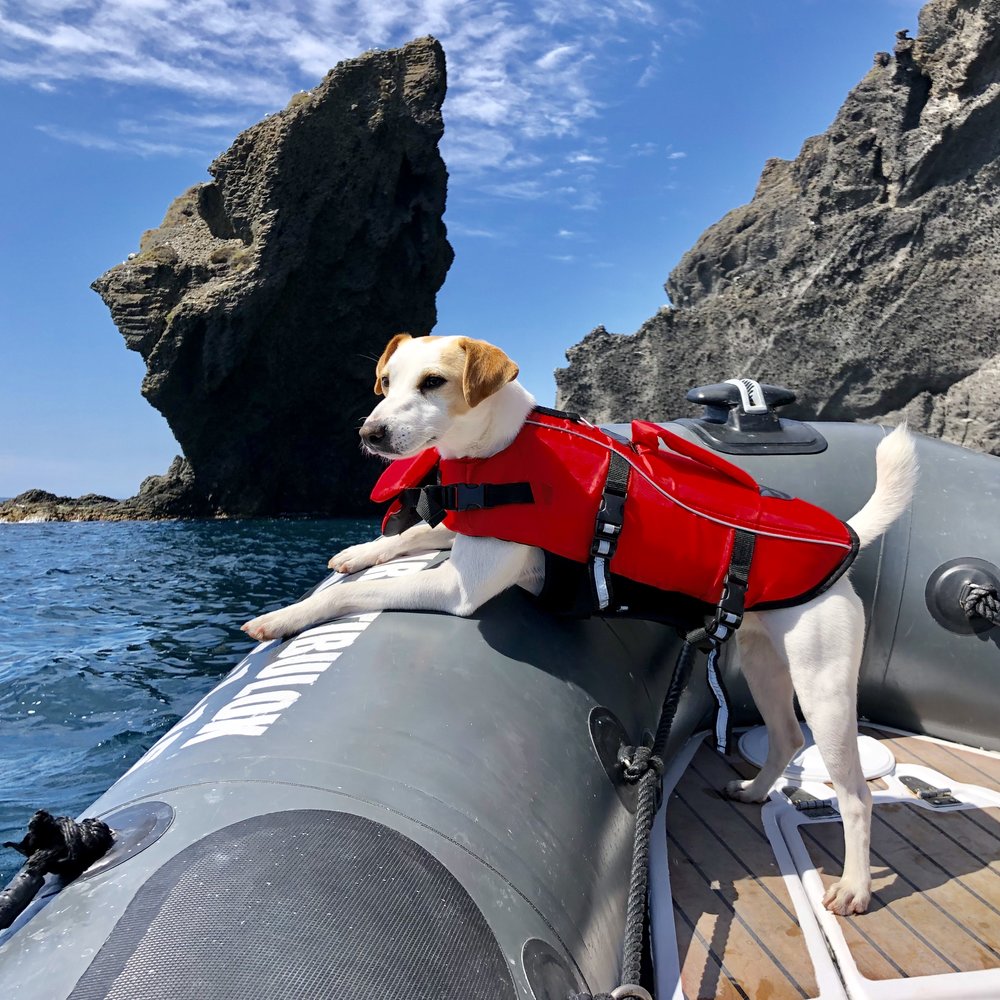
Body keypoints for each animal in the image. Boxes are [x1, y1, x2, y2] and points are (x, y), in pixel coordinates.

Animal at [240, 334, 916, 916]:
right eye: (387, 382)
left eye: (433, 382)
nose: (370, 433)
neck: (498, 449)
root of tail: (847, 541)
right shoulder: (461, 532)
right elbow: (407, 537)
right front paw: (357, 552)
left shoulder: (462, 587)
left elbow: (356, 595)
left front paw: (283, 616)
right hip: (762, 661)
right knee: (784, 737)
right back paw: (752, 792)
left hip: (823, 684)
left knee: (855, 793)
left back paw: (855, 887)